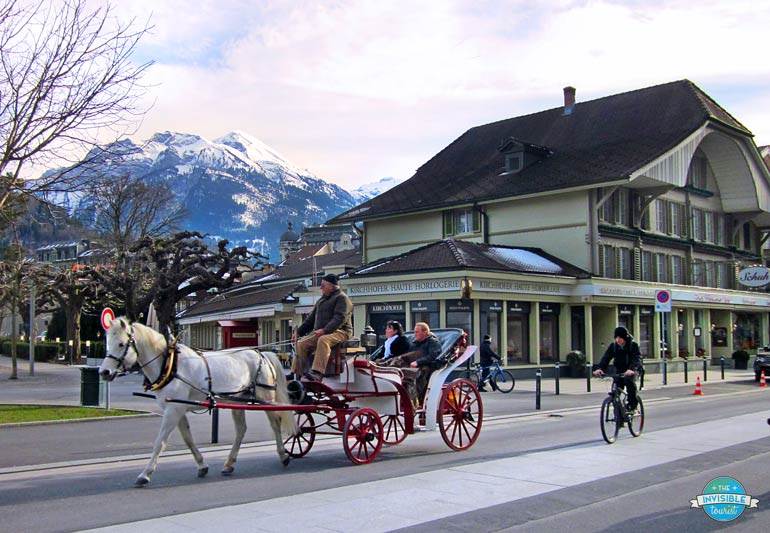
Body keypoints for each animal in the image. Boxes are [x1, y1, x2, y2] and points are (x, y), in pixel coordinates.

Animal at [97, 316, 296, 486]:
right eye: (108, 343)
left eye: (121, 344)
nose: (104, 372)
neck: (170, 365)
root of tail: (262, 354)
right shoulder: (176, 409)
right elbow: (188, 439)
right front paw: (202, 465)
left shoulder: (173, 411)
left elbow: (160, 442)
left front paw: (145, 474)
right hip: (238, 401)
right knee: (241, 430)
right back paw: (229, 464)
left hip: (266, 398)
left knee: (275, 424)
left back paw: (283, 455)